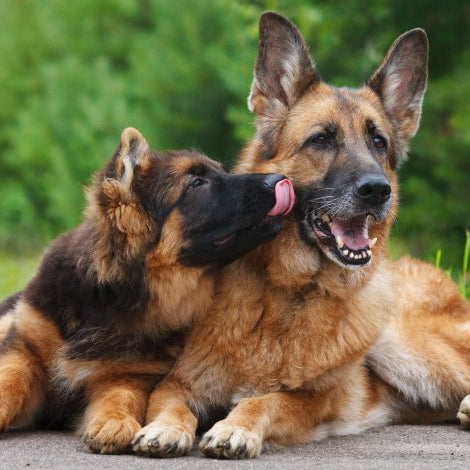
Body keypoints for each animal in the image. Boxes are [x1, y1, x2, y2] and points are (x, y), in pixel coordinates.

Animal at [0, 126, 294, 454]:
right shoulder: (23, 349)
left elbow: (120, 396)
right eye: (197, 183)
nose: (278, 179)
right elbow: (9, 381)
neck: (112, 296)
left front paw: (114, 422)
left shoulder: (129, 373)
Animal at [130, 13, 470, 458]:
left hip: (404, 345)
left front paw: (234, 428)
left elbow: (266, 400)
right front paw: (165, 428)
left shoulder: (312, 399)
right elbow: (171, 405)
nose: (378, 190)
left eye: (378, 142)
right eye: (321, 139)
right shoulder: (178, 383)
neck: (289, 293)